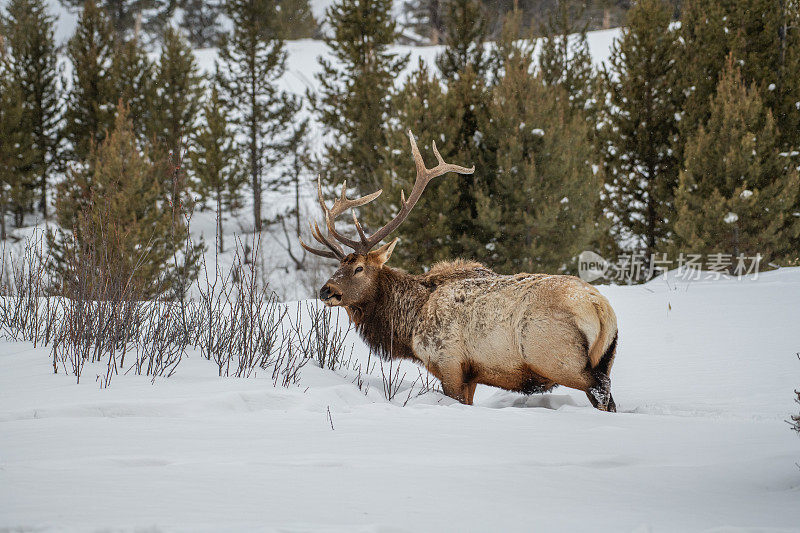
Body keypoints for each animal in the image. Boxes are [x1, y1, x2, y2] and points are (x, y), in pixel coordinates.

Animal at [300, 130, 620, 412]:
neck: (410, 324)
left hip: (559, 357)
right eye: (338, 266)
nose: (326, 290)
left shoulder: (449, 363)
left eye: (359, 268)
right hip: (605, 357)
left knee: (602, 394)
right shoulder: (471, 375)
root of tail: (601, 307)